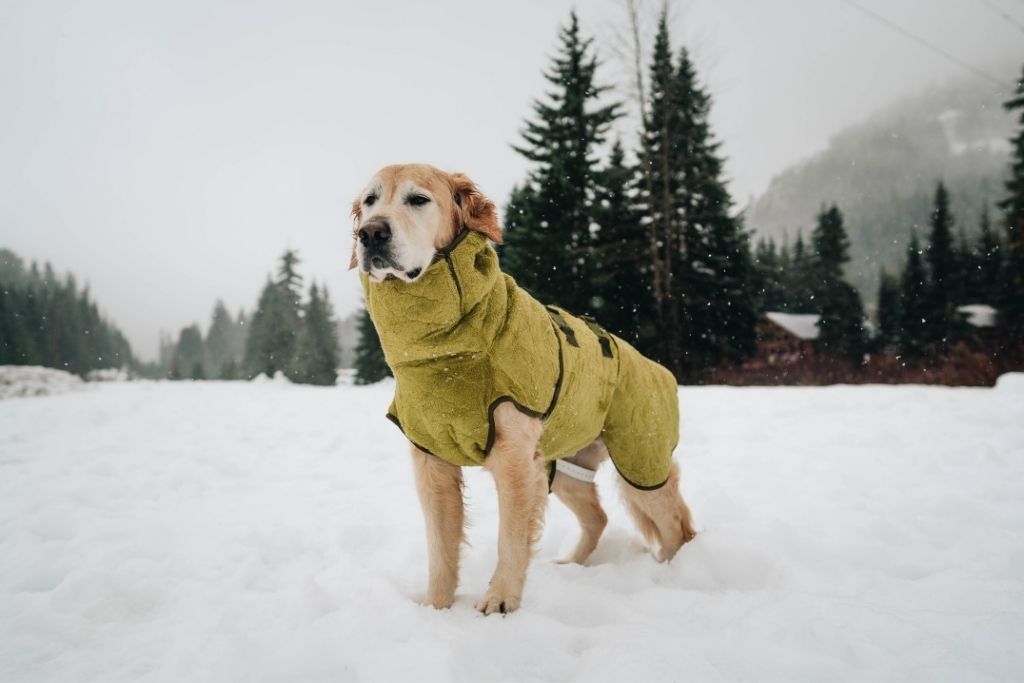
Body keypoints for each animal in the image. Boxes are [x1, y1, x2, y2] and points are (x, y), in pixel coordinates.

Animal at [350, 163, 696, 614]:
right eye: (370, 200)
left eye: (418, 199)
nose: (370, 233)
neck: (448, 354)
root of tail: (658, 368)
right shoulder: (432, 461)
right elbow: (440, 547)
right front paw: (436, 608)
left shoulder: (514, 460)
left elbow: (510, 540)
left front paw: (500, 601)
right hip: (562, 465)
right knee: (598, 517)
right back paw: (572, 564)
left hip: (640, 460)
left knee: (677, 528)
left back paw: (675, 577)